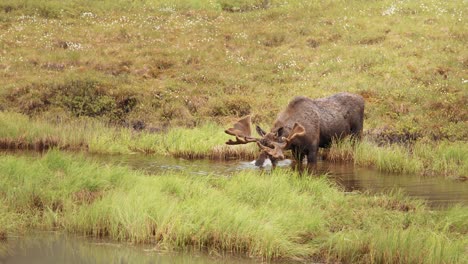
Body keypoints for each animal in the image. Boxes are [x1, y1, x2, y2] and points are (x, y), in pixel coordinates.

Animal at [225, 93, 364, 166]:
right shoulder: (296, 151)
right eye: (259, 147)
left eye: (271, 150)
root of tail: (362, 100)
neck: (296, 139)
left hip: (357, 132)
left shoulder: (313, 148)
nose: (257, 164)